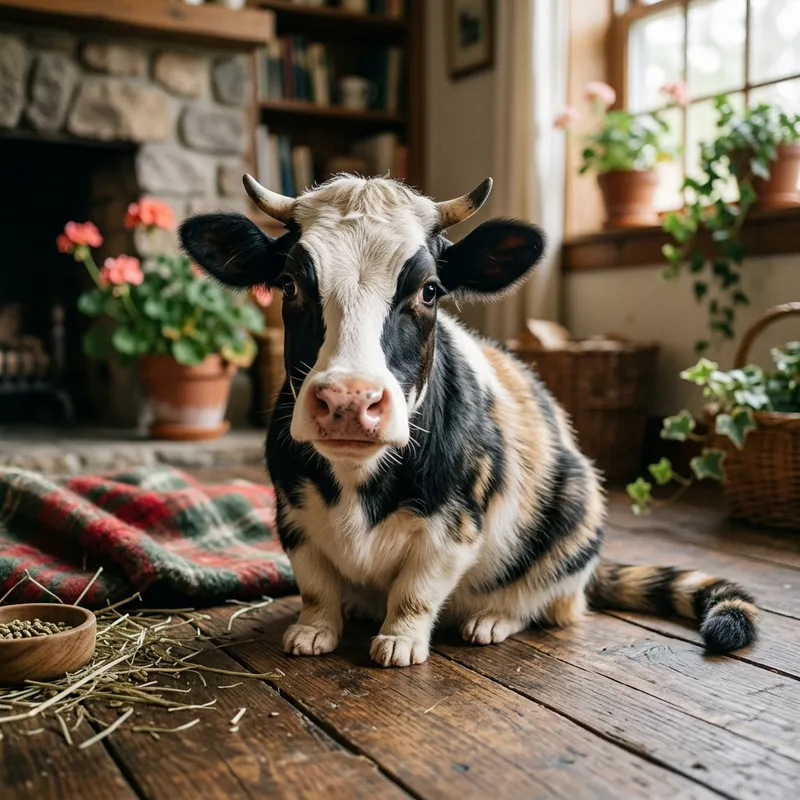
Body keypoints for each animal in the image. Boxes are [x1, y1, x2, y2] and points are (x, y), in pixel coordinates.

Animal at [179, 173, 757, 668]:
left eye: (430, 290)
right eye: (289, 285)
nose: (348, 400)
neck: (357, 480)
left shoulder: (454, 526)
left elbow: (416, 591)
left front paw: (399, 641)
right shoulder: (293, 515)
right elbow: (316, 584)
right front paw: (314, 630)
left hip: (577, 516)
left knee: (551, 599)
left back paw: (493, 619)